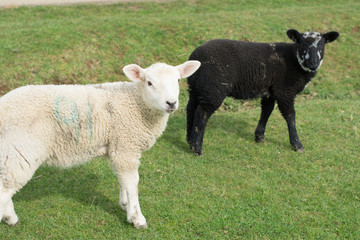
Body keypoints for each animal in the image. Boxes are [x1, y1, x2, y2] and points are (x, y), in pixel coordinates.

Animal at [0, 60, 201, 229]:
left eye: (178, 80)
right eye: (149, 83)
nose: (171, 103)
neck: (137, 103)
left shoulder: (118, 147)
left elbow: (122, 179)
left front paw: (125, 205)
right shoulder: (126, 146)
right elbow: (132, 183)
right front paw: (137, 218)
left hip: (8, 152)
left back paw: (11, 218)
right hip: (21, 150)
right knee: (5, 190)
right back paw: (10, 218)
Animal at [187, 28, 338, 156]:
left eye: (322, 46)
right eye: (302, 45)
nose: (313, 63)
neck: (295, 61)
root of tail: (196, 56)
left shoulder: (269, 91)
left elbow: (266, 112)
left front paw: (259, 137)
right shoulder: (285, 91)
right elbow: (290, 116)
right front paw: (297, 144)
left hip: (196, 87)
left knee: (191, 109)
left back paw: (189, 140)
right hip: (213, 89)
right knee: (202, 113)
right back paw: (197, 148)